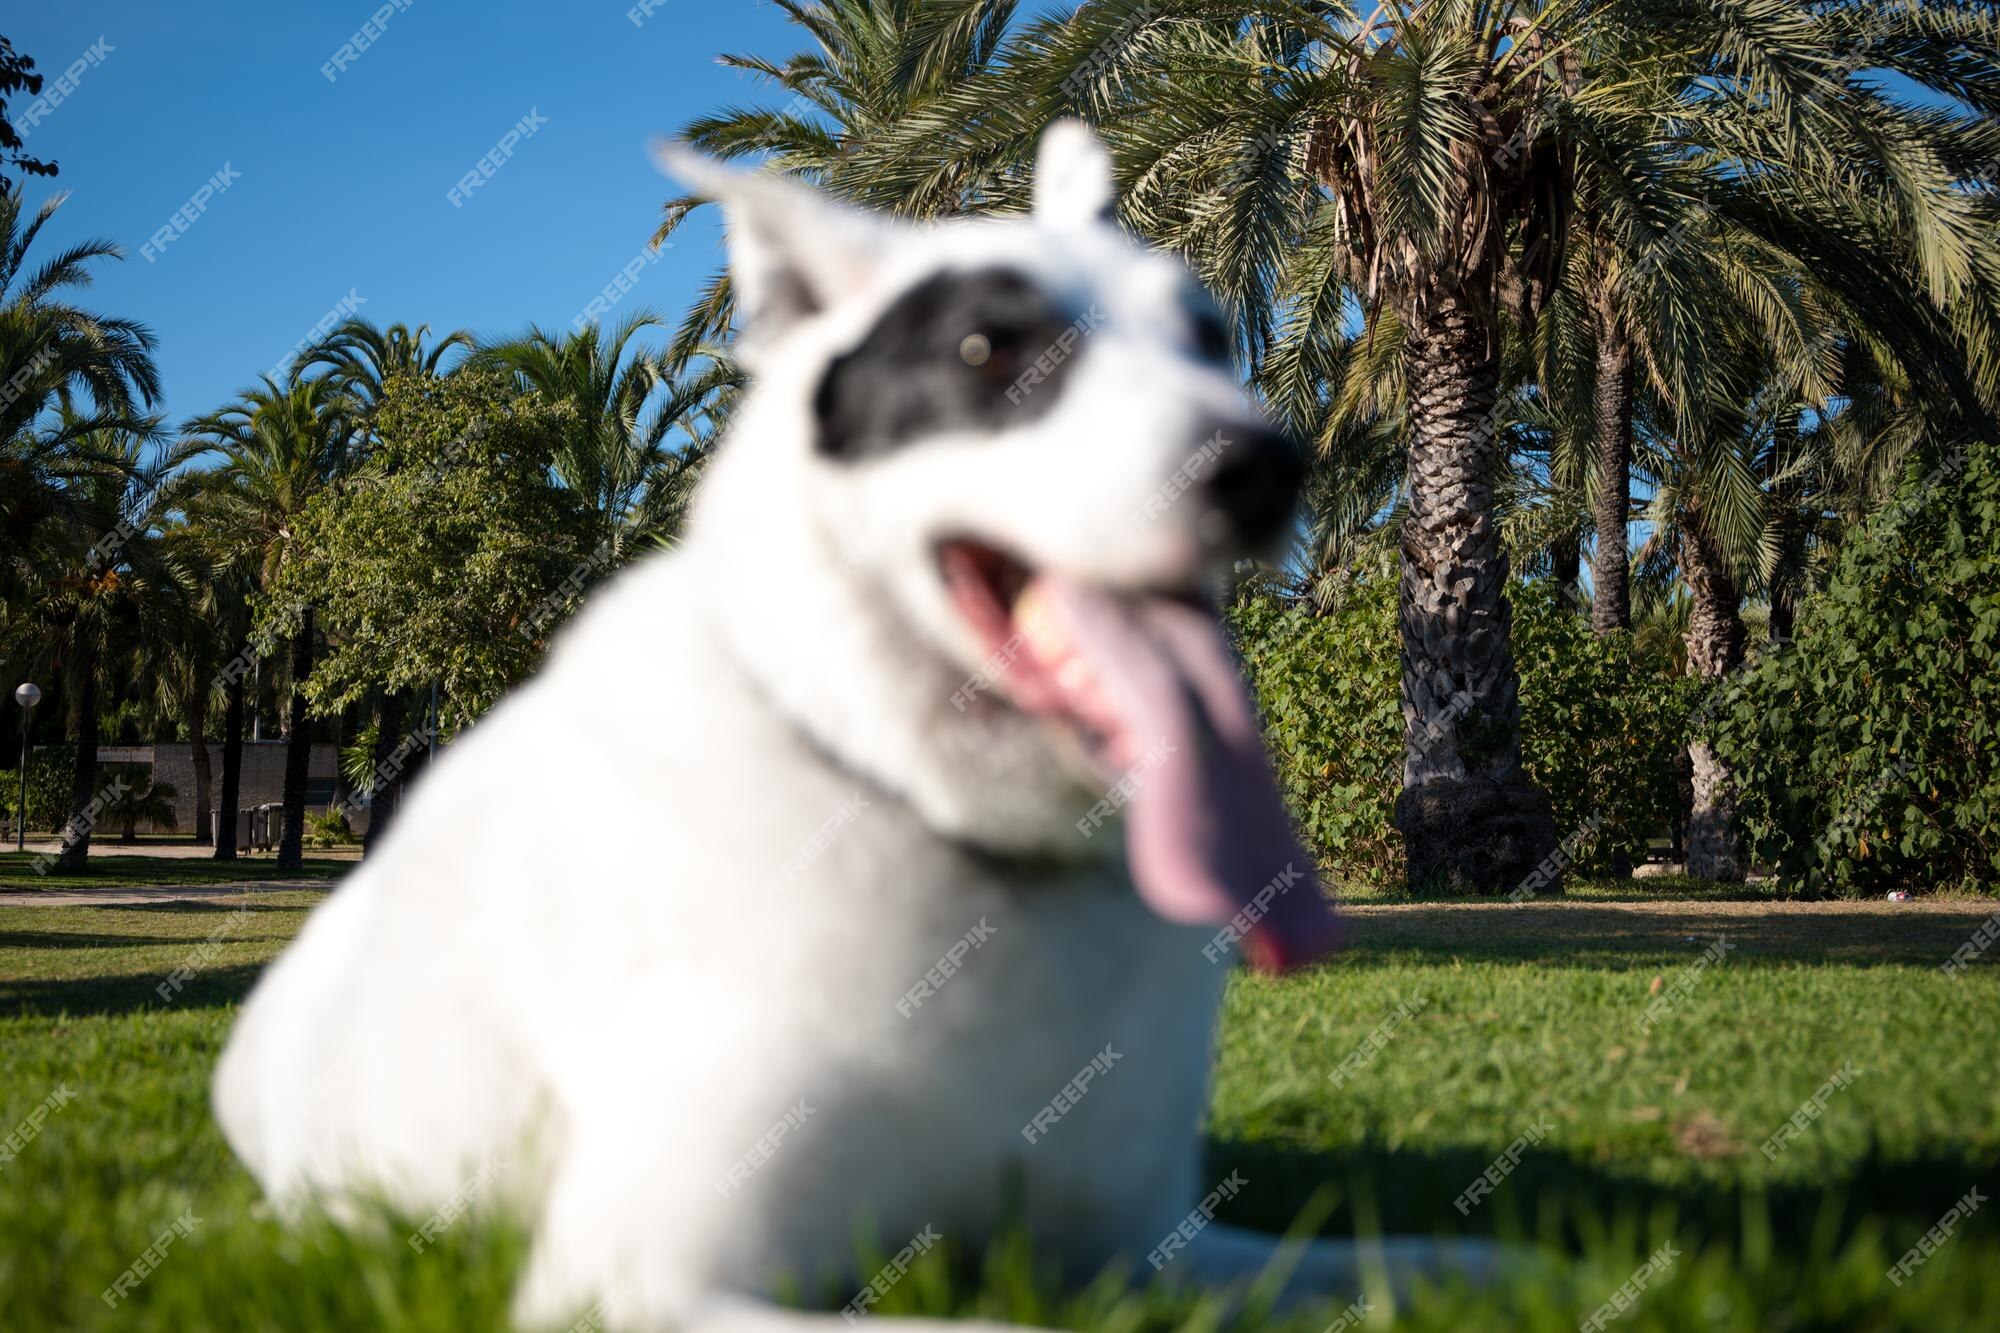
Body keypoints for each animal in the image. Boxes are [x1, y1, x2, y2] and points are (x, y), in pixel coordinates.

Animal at [211, 122, 1464, 1320]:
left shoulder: (1149, 1253)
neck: (949, 823)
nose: (1265, 468)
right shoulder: (641, 1283)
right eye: (983, 349)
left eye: (1204, 337)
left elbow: (1428, 1261)